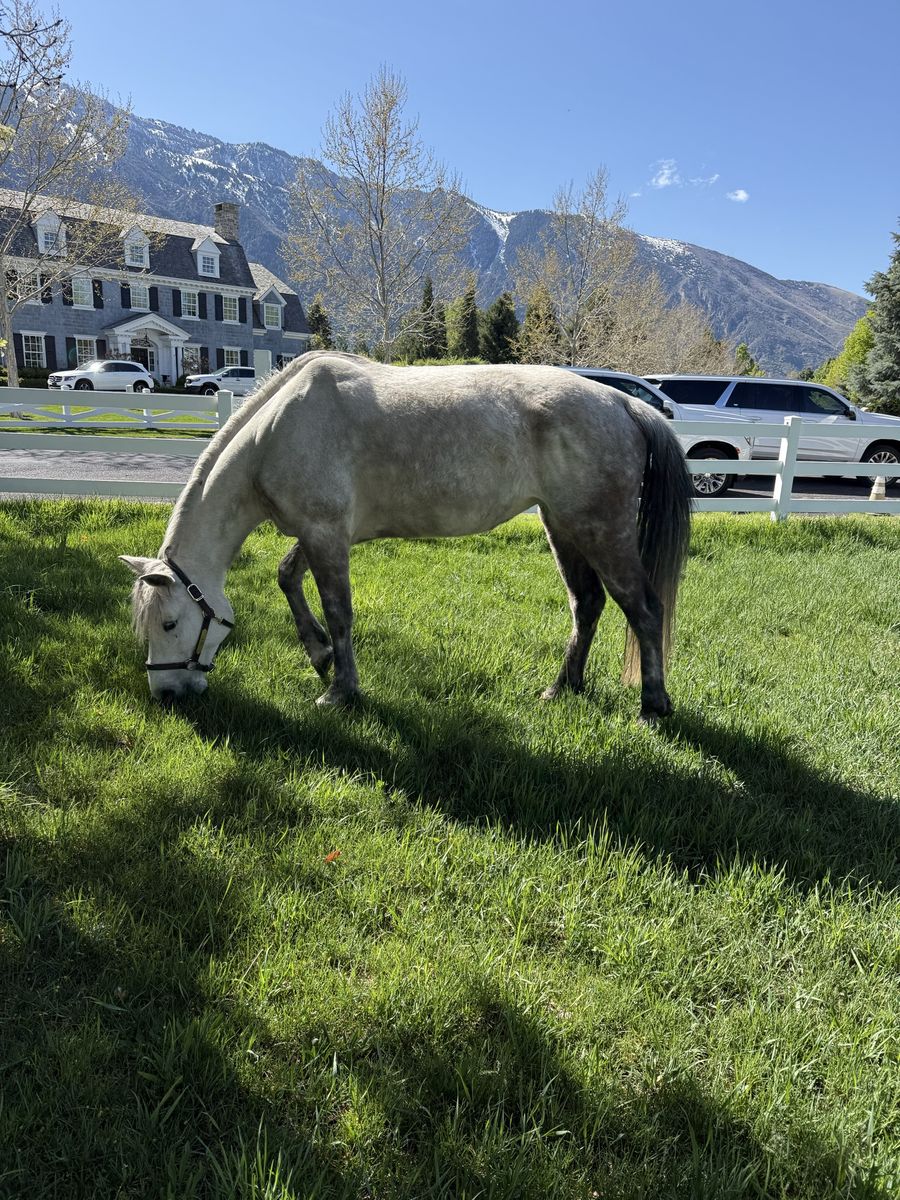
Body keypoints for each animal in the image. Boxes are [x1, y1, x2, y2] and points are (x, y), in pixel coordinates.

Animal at [120, 351, 693, 721]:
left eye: (170, 623)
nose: (166, 694)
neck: (276, 432)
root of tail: (625, 404)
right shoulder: (321, 533)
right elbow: (286, 577)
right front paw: (320, 656)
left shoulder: (325, 534)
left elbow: (339, 612)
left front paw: (340, 691)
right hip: (562, 525)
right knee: (587, 603)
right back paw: (562, 688)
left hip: (600, 529)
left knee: (643, 607)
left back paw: (652, 706)